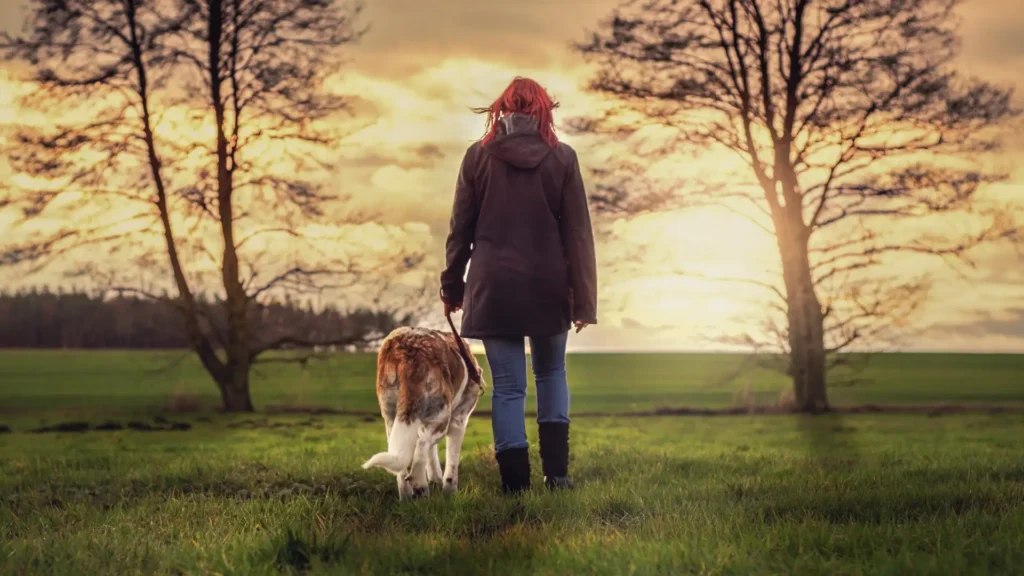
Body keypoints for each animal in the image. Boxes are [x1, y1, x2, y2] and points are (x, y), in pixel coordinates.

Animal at [364, 327, 483, 498]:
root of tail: (406, 352)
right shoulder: (459, 422)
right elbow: (452, 464)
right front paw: (449, 492)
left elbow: (432, 457)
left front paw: (435, 479)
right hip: (441, 417)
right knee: (422, 446)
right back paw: (420, 484)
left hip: (391, 417)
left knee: (404, 463)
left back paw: (407, 496)